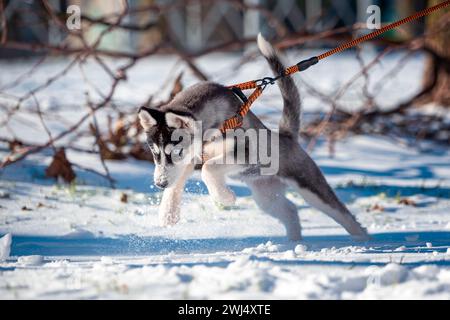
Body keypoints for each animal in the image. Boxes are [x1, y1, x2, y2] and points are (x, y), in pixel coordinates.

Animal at [139, 34, 368, 240]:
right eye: (155, 153)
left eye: (176, 151)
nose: (159, 183)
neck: (214, 124)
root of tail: (287, 136)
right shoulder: (192, 157)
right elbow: (179, 180)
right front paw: (168, 214)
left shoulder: (245, 152)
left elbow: (208, 168)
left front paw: (225, 198)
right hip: (266, 195)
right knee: (290, 210)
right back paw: (292, 243)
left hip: (309, 185)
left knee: (343, 215)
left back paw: (363, 242)